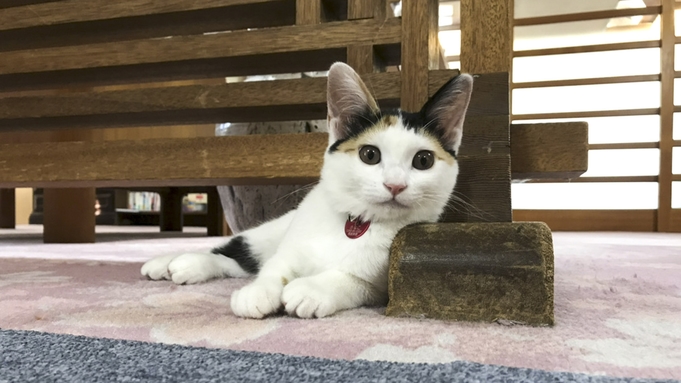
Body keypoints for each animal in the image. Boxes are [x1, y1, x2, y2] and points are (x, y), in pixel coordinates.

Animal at [141, 63, 472, 320]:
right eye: (370, 154)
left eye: (423, 160)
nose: (395, 185)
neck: (357, 220)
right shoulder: (291, 245)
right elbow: (275, 266)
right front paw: (258, 292)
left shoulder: (380, 284)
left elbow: (349, 280)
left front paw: (310, 290)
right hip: (274, 230)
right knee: (239, 249)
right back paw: (171, 261)